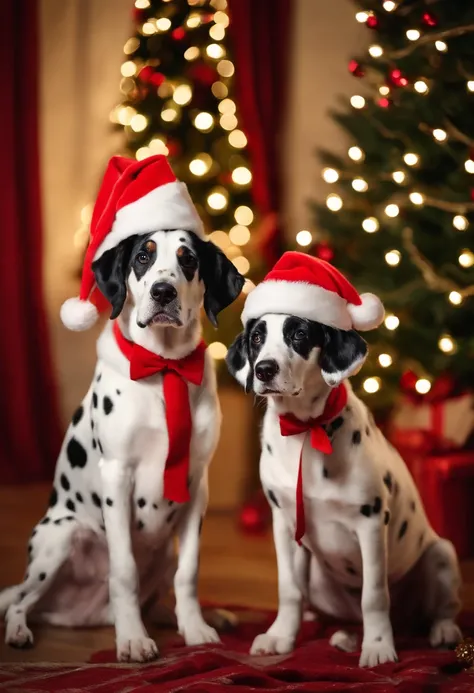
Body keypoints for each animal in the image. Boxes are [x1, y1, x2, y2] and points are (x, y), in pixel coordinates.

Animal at [0, 230, 244, 664]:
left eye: (188, 259)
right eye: (142, 259)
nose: (163, 292)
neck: (165, 367)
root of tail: (79, 613)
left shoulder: (197, 486)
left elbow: (189, 572)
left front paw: (196, 628)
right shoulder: (117, 477)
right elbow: (124, 570)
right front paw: (132, 638)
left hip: (163, 552)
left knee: (161, 596)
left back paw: (206, 615)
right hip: (58, 539)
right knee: (19, 601)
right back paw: (19, 631)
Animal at [226, 312, 462, 664]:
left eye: (299, 334)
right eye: (256, 337)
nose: (264, 370)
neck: (305, 431)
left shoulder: (371, 523)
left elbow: (374, 596)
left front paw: (378, 646)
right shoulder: (284, 525)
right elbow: (289, 590)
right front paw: (281, 636)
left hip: (440, 553)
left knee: (442, 607)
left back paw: (442, 631)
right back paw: (340, 635)